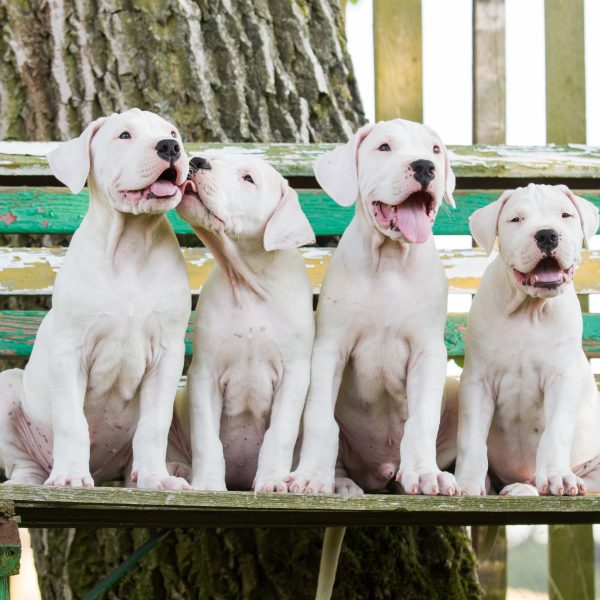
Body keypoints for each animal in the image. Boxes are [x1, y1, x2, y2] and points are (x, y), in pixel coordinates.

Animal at [0, 109, 191, 492]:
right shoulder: (69, 351)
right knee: (23, 464)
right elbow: (72, 422)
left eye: (173, 132)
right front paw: (71, 476)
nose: (170, 147)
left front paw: (156, 479)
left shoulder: (167, 356)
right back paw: (29, 480)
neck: (131, 245)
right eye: (124, 135)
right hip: (6, 392)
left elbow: (154, 425)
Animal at [166, 152, 316, 490]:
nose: (198, 161)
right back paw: (178, 470)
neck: (250, 286)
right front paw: (208, 485)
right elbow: (207, 439)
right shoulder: (204, 374)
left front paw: (272, 481)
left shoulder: (295, 374)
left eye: (248, 178)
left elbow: (280, 434)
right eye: (213, 156)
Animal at [454, 183, 600, 496]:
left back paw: (526, 487)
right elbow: (471, 438)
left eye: (565, 215)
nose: (546, 234)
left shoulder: (562, 379)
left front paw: (558, 477)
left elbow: (555, 432)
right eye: (516, 220)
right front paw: (467, 484)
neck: (529, 310)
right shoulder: (477, 382)